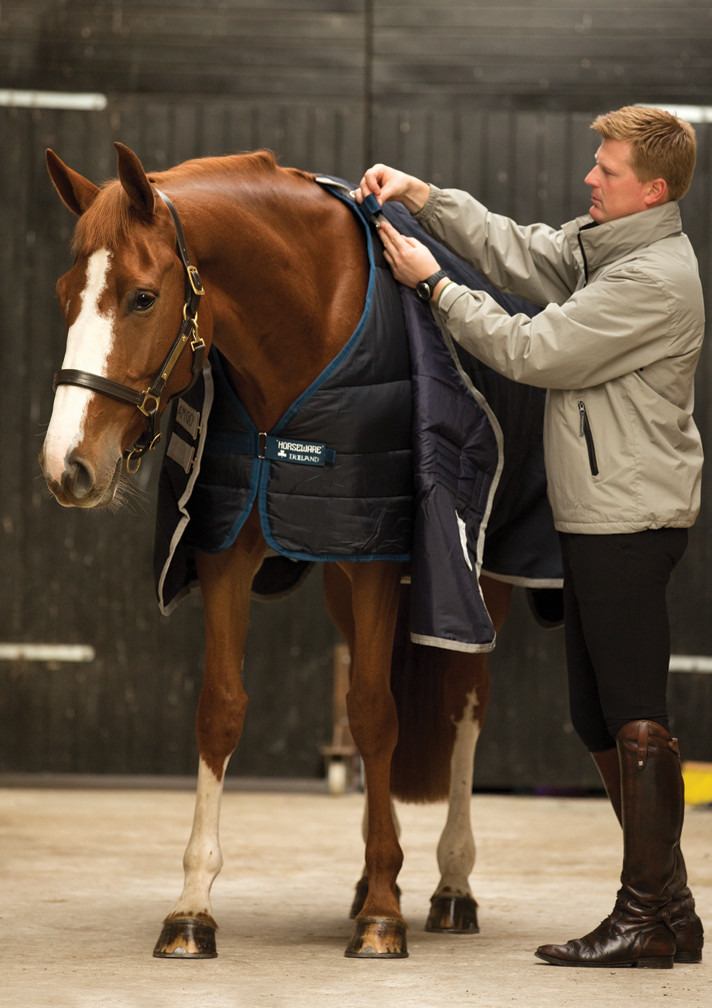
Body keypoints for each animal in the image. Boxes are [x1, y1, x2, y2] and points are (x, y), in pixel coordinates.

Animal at [39, 142, 550, 960]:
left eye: (143, 298)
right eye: (65, 296)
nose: (67, 467)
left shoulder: (380, 556)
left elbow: (373, 714)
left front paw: (384, 916)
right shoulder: (228, 552)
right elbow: (222, 710)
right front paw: (192, 907)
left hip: (475, 585)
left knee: (463, 705)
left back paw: (448, 886)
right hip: (341, 578)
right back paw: (381, 877)